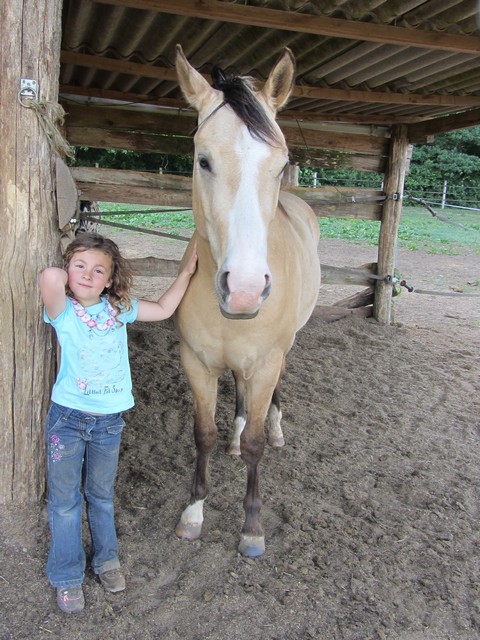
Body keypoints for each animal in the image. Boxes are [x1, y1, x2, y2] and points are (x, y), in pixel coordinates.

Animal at [174, 44, 321, 557]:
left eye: (279, 165)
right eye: (203, 160)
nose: (245, 289)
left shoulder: (267, 361)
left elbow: (256, 444)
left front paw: (252, 528)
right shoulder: (196, 363)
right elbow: (203, 435)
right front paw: (193, 513)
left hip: (284, 351)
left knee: (269, 400)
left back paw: (274, 430)